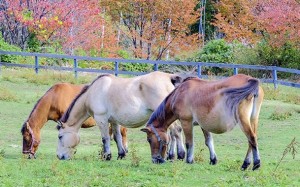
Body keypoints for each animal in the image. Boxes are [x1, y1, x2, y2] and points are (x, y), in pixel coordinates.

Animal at [55, 71, 185, 161]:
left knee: (176, 131)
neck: (92, 92)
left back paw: (179, 155)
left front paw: (107, 156)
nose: (59, 156)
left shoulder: (101, 119)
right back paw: (171, 155)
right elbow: (117, 137)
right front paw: (121, 154)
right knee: (172, 134)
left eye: (60, 137)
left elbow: (105, 138)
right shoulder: (114, 121)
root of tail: (169, 77)